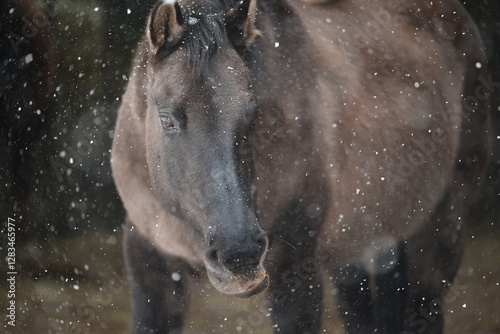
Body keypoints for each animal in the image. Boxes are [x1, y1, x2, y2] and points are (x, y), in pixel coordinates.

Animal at [111, 0, 490, 332]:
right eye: (166, 119)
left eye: (253, 113)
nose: (239, 253)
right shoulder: (149, 262)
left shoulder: (294, 272)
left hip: (439, 233)